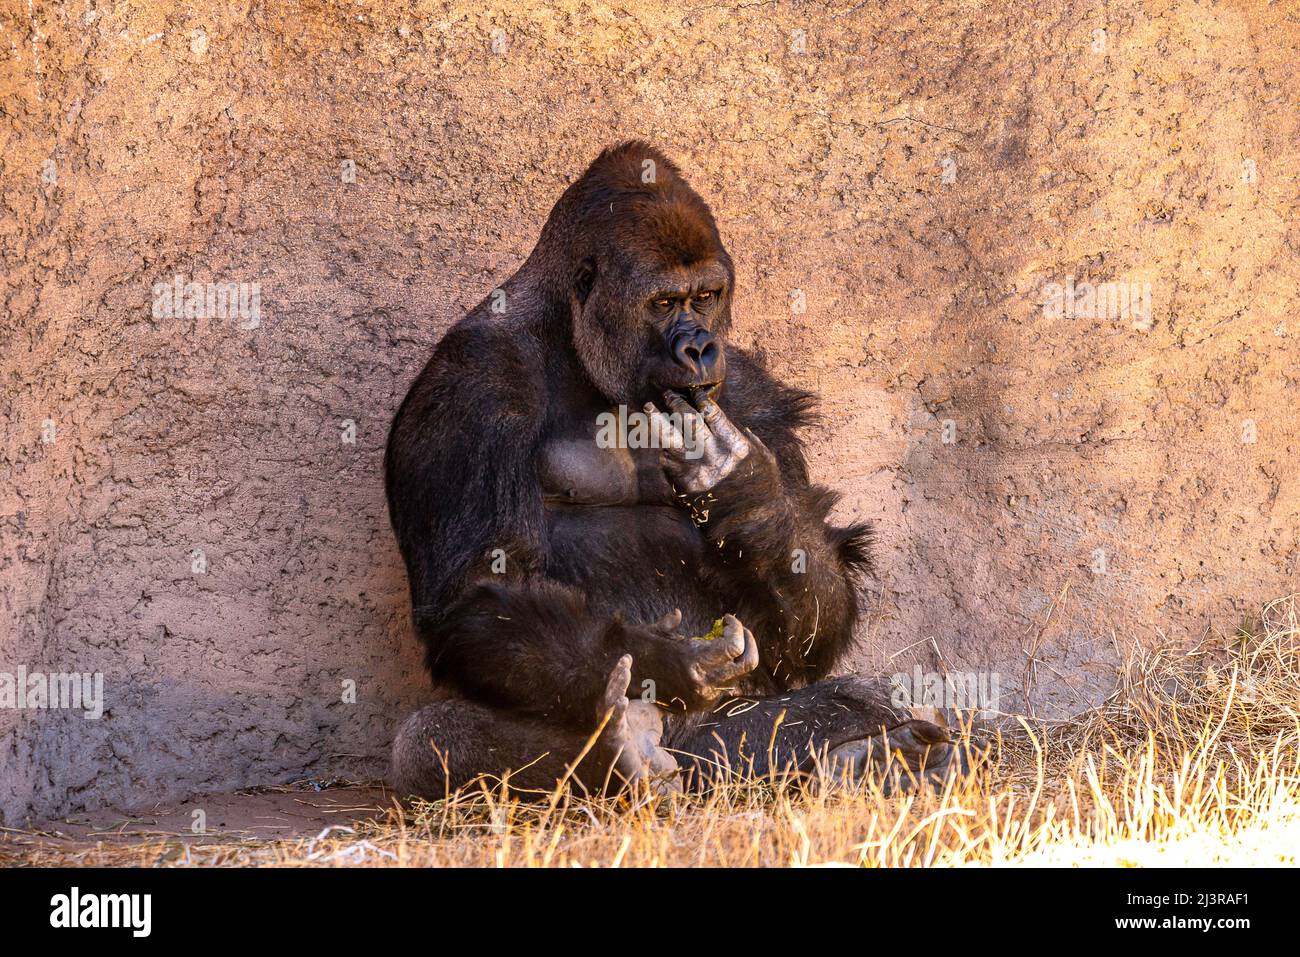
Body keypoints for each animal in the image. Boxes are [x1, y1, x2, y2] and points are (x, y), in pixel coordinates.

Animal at [384, 142, 966, 798]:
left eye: (706, 296)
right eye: (663, 303)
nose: (698, 348)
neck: (568, 334)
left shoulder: (750, 391)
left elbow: (807, 625)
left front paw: (746, 492)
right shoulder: (473, 376)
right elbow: (479, 589)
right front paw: (670, 663)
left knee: (864, 698)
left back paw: (877, 758)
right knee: (430, 738)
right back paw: (627, 752)